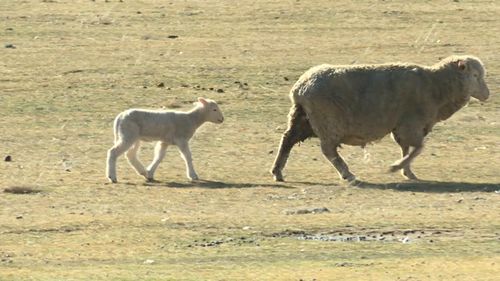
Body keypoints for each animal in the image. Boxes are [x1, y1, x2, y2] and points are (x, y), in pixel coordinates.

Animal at [272, 54, 490, 182]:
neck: (437, 85)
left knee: (287, 140)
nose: (487, 94)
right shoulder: (410, 123)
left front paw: (407, 171)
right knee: (328, 150)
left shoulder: (403, 126)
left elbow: (407, 148)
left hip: (303, 118)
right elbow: (418, 148)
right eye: (476, 75)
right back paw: (347, 174)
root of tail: (300, 88)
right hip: (326, 122)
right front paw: (397, 167)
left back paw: (278, 172)